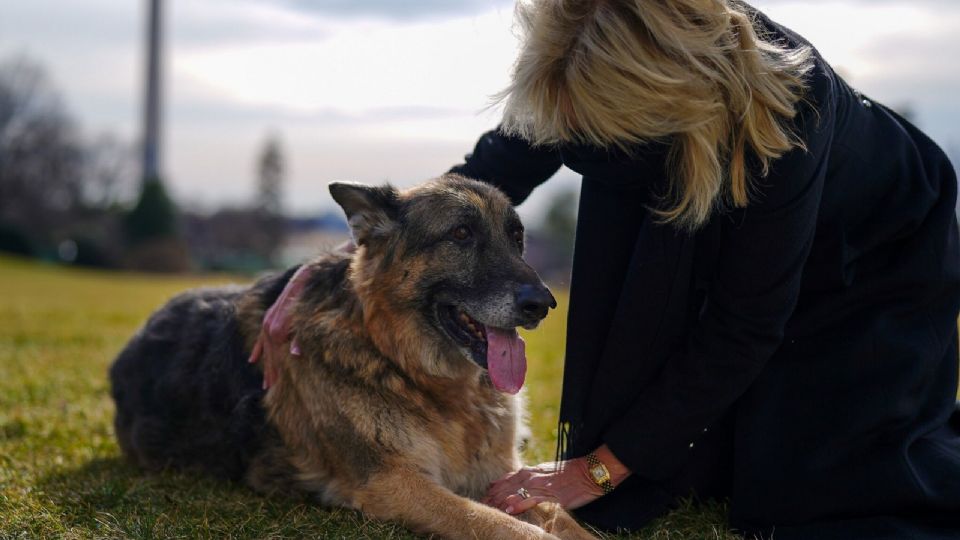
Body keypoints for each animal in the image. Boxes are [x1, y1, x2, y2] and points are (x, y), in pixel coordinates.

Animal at [109, 175, 596, 536]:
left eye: (517, 238)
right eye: (461, 234)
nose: (543, 304)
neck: (403, 364)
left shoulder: (504, 476)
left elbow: (559, 517)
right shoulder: (392, 482)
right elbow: (502, 526)